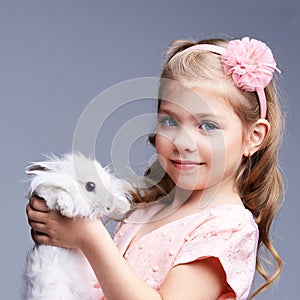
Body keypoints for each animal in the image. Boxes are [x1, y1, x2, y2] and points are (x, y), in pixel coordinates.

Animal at [22, 154, 132, 298]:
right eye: (90, 186)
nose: (109, 206)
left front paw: (124, 206)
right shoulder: (47, 193)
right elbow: (60, 193)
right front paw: (67, 208)